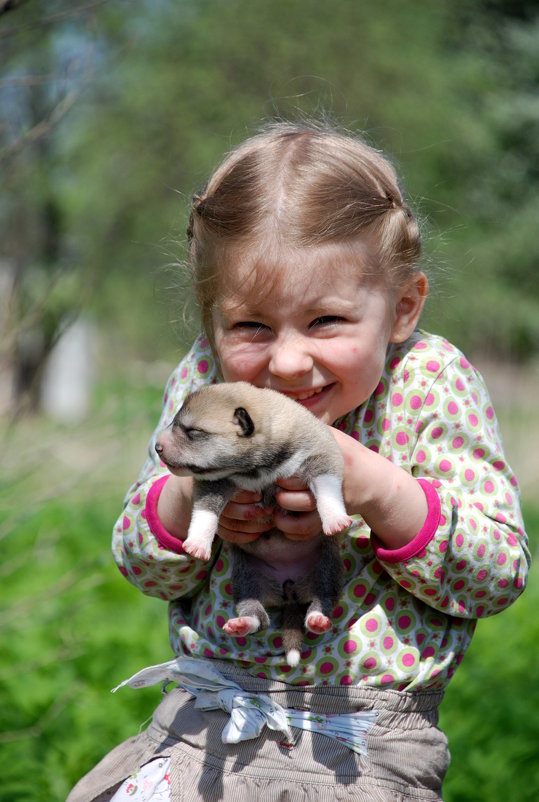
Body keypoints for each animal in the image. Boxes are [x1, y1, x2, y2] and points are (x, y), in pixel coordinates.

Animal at [154, 382, 352, 664]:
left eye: (194, 432)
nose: (157, 447)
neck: (255, 467)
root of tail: (288, 594)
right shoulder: (213, 484)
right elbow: (205, 511)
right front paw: (198, 543)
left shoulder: (321, 454)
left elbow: (327, 487)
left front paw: (334, 518)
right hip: (246, 580)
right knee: (259, 616)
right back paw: (243, 623)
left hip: (327, 570)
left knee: (322, 599)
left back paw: (317, 618)